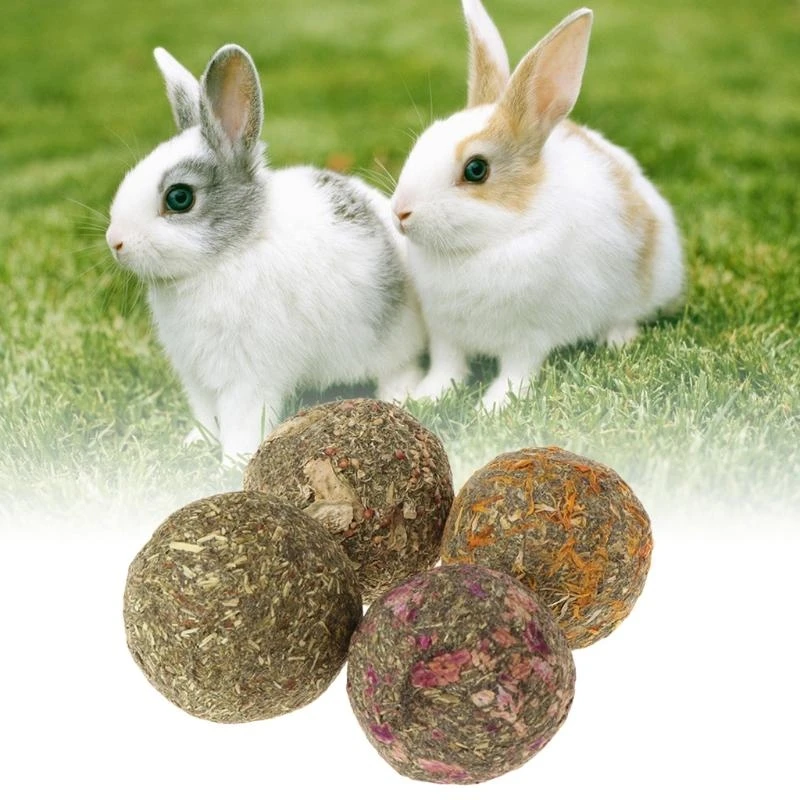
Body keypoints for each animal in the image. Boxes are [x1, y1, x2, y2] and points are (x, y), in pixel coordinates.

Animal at [106, 44, 425, 458]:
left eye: (179, 198)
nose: (115, 241)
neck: (233, 251)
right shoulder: (197, 376)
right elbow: (205, 414)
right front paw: (197, 442)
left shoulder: (247, 375)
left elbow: (242, 419)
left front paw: (232, 459)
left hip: (390, 337)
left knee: (401, 367)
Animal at [391, 0, 685, 410]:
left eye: (476, 169)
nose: (400, 212)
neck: (479, 247)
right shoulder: (445, 333)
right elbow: (446, 367)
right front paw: (425, 398)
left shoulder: (528, 337)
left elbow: (516, 372)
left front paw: (493, 408)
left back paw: (616, 340)